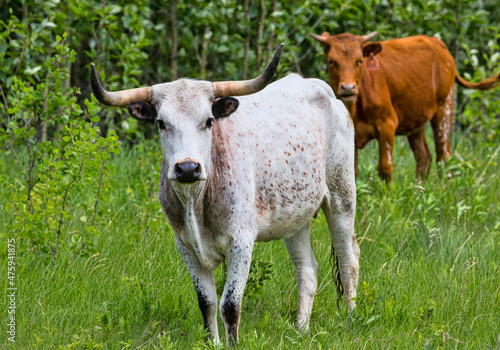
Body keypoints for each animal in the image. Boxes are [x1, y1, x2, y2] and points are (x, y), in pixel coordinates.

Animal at [91, 45, 360, 346]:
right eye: (161, 123)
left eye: (209, 121)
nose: (187, 168)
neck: (196, 202)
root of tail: (321, 88)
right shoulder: (185, 245)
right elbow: (206, 302)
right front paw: (214, 343)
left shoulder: (241, 242)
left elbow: (230, 305)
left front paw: (233, 344)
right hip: (294, 217)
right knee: (307, 269)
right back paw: (300, 329)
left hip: (342, 196)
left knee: (348, 258)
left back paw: (350, 318)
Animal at [310, 32, 498, 183]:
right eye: (332, 61)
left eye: (359, 61)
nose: (348, 88)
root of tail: (437, 43)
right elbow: (352, 173)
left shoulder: (387, 126)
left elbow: (385, 169)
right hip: (417, 119)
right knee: (424, 156)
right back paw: (420, 188)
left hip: (445, 108)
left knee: (444, 155)